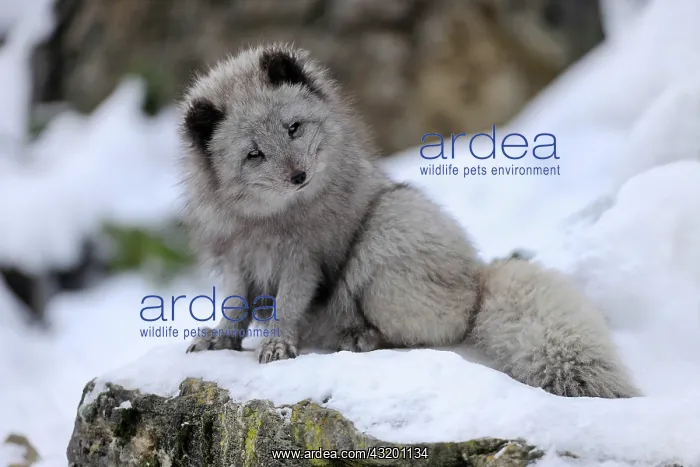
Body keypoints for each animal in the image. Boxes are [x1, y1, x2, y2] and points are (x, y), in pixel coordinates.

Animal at [178, 43, 640, 398]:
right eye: (254, 154)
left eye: (293, 128)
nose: (299, 176)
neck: (265, 223)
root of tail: (478, 278)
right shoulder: (234, 258)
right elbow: (234, 305)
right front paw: (221, 338)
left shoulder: (303, 258)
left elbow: (288, 305)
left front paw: (277, 343)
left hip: (390, 225)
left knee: (434, 333)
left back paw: (362, 337)